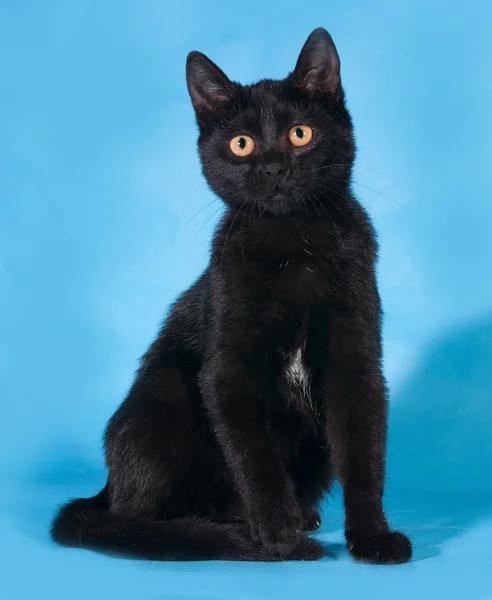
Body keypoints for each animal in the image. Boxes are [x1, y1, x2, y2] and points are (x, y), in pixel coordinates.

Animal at [50, 27, 412, 564]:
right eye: (242, 144)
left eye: (300, 134)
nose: (274, 167)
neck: (292, 243)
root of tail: (107, 488)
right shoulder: (227, 367)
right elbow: (254, 455)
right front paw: (279, 534)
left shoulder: (356, 359)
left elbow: (364, 452)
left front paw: (372, 536)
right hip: (164, 392)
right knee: (138, 519)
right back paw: (224, 528)